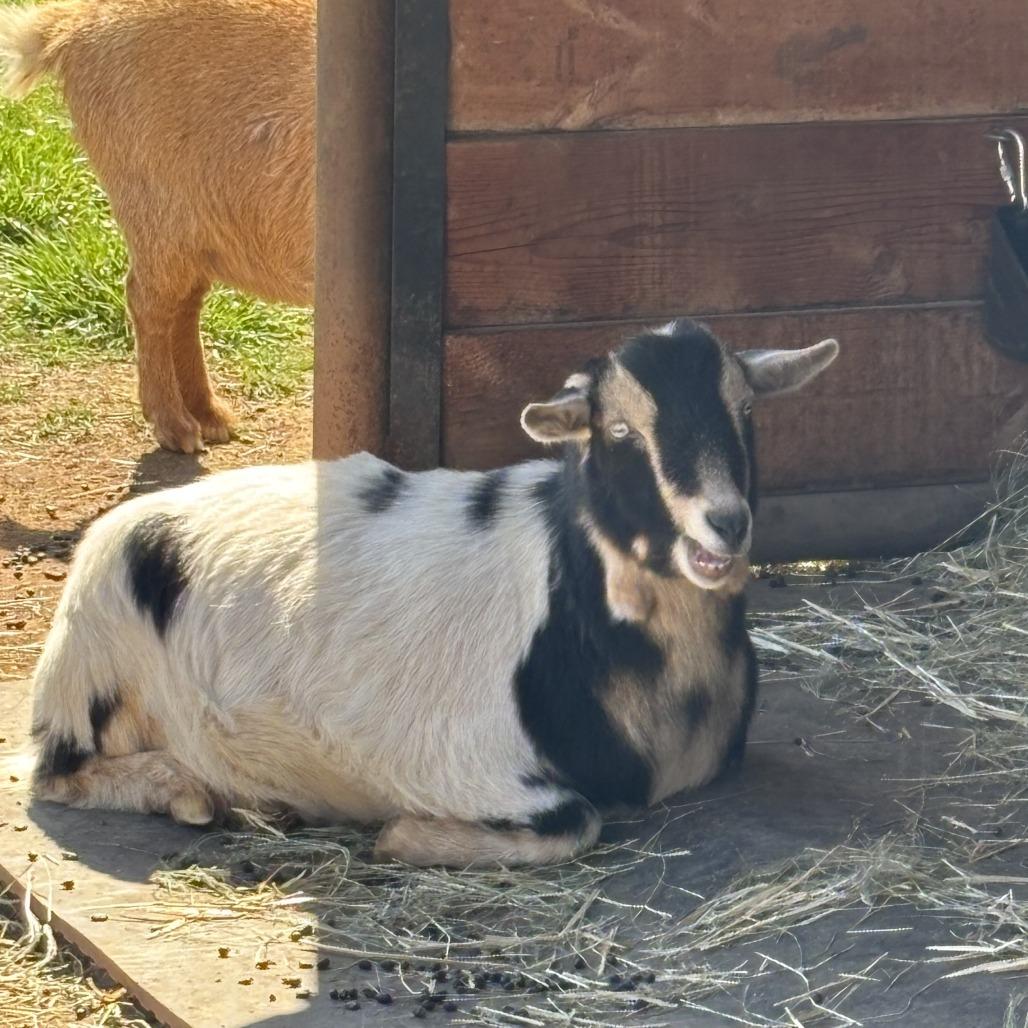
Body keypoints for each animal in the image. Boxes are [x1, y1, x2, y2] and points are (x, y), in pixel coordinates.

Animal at [0, 0, 315, 453]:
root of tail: (71, 24)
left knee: (184, 303)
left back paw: (209, 416)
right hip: (154, 208)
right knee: (148, 300)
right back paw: (176, 426)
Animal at [30, 320, 839, 867]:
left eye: (745, 411)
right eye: (619, 431)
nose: (724, 524)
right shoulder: (453, 758)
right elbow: (575, 821)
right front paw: (404, 835)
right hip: (94, 672)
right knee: (58, 776)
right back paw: (194, 792)